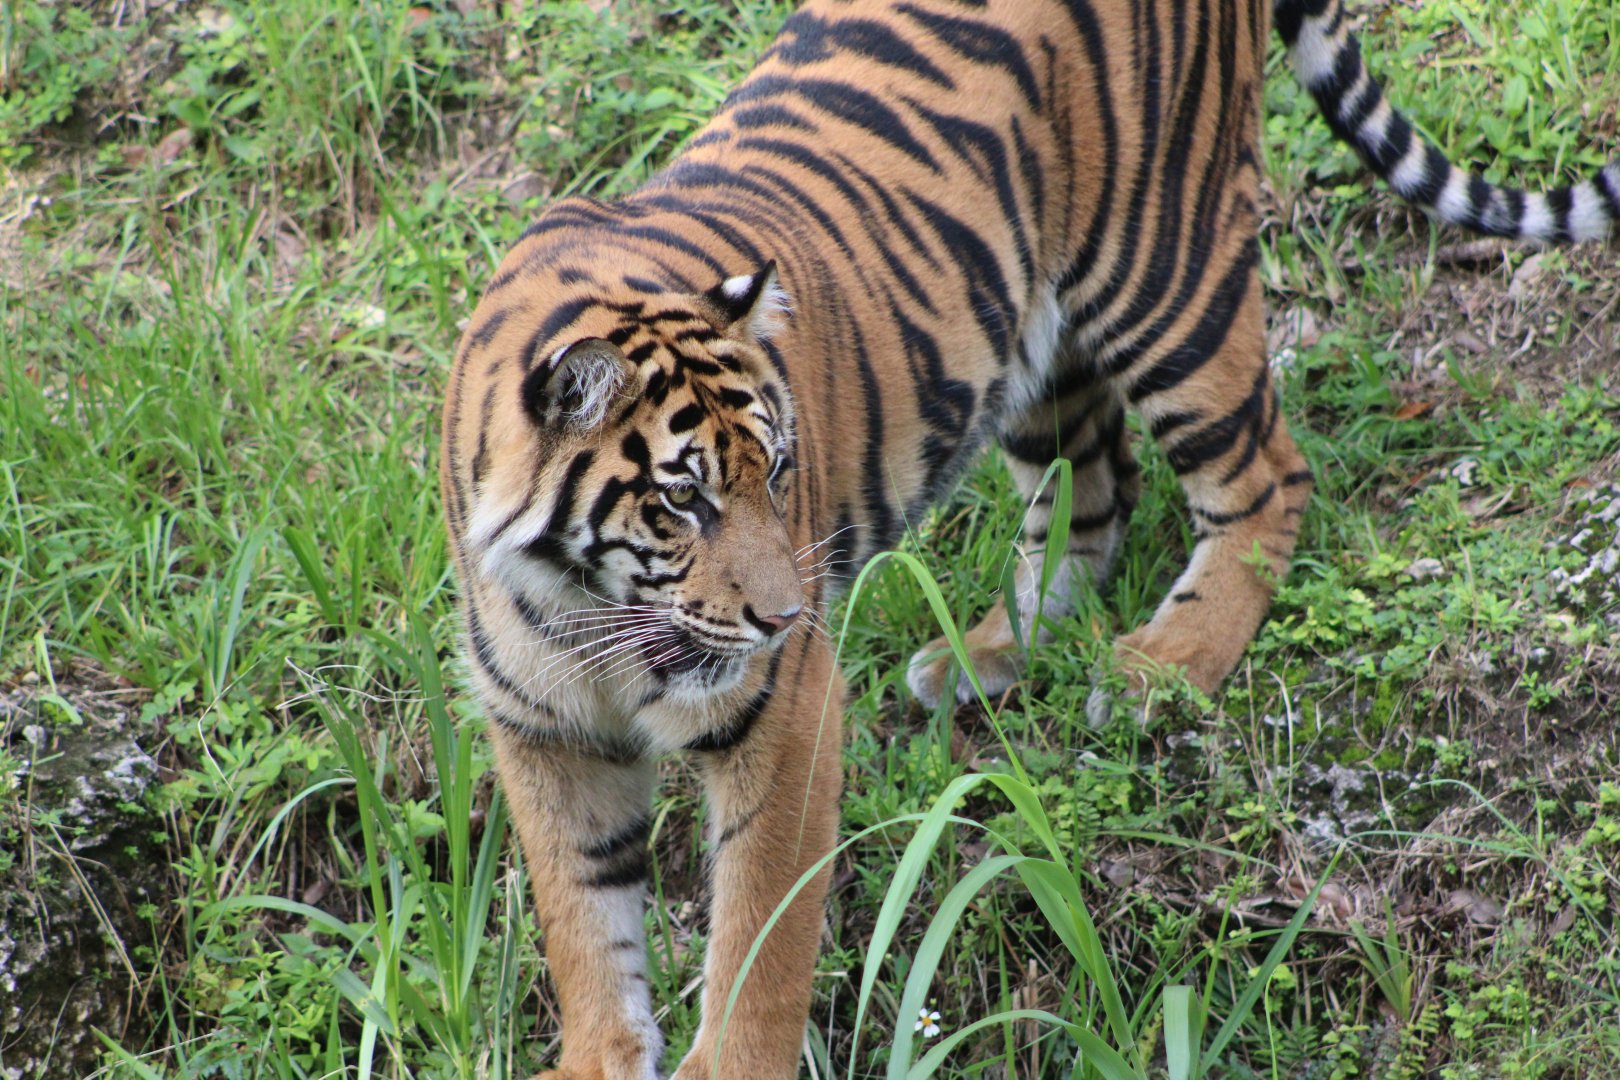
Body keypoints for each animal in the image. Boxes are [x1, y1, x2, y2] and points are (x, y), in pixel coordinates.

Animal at [439, 0, 1618, 1075]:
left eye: (776, 471)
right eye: (683, 500)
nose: (784, 615)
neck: (588, 606)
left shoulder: (785, 711)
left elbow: (759, 942)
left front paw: (730, 1061)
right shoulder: (544, 736)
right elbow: (583, 929)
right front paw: (597, 1058)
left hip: (1164, 272)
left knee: (1265, 476)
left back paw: (1165, 663)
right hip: (1025, 347)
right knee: (1095, 491)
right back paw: (993, 652)